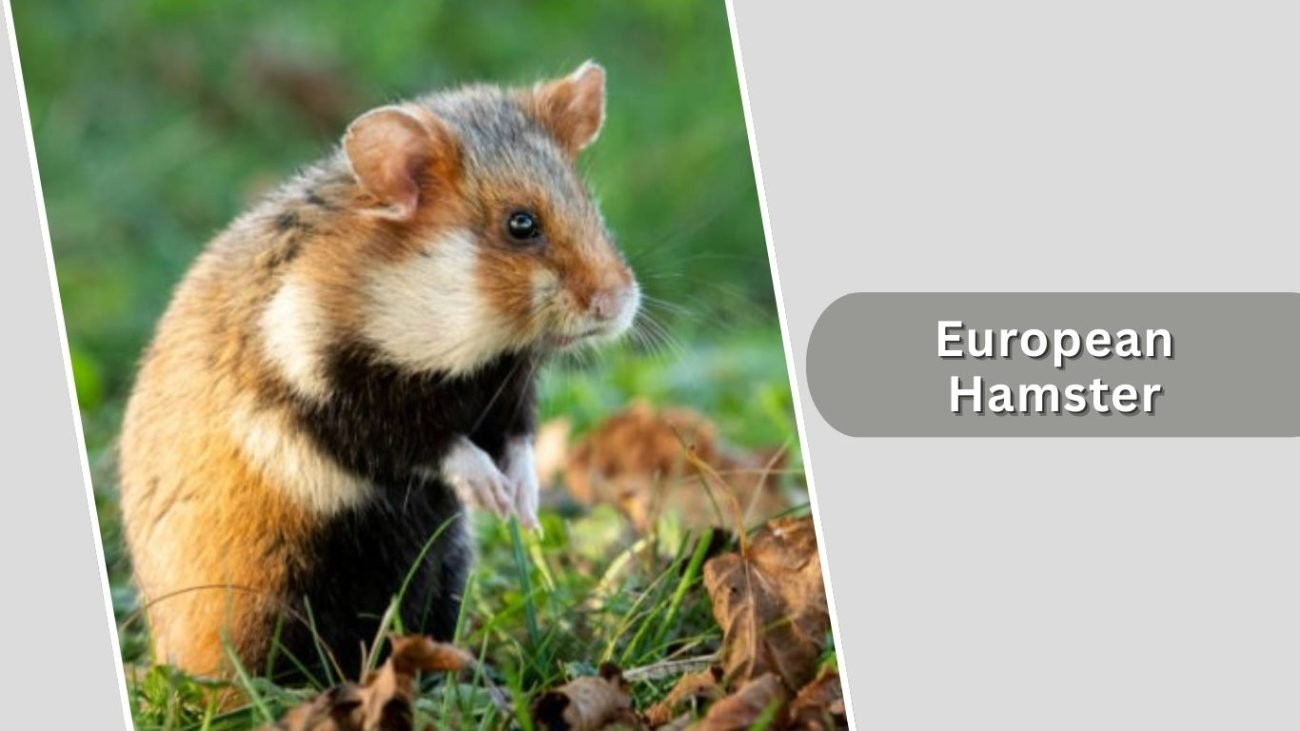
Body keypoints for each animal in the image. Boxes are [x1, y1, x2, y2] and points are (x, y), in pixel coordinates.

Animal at [117, 61, 639, 680]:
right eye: (521, 225)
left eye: (589, 203)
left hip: (446, 561)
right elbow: (424, 441)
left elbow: (518, 442)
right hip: (274, 591)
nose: (619, 304)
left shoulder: (506, 388)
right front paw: (492, 493)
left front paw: (523, 507)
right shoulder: (327, 394)